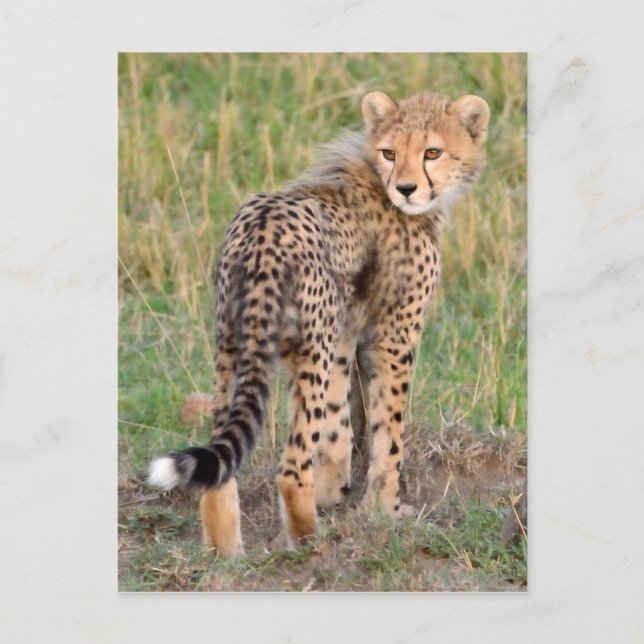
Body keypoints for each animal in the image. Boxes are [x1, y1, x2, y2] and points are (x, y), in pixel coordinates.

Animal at [149, 89, 490, 556]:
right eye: (390, 152)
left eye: (432, 152)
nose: (406, 188)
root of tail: (261, 229)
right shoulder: (394, 336)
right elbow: (388, 431)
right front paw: (383, 510)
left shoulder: (343, 333)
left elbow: (337, 422)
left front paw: (333, 491)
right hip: (308, 352)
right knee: (291, 466)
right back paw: (310, 542)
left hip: (233, 345)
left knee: (222, 469)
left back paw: (227, 557)